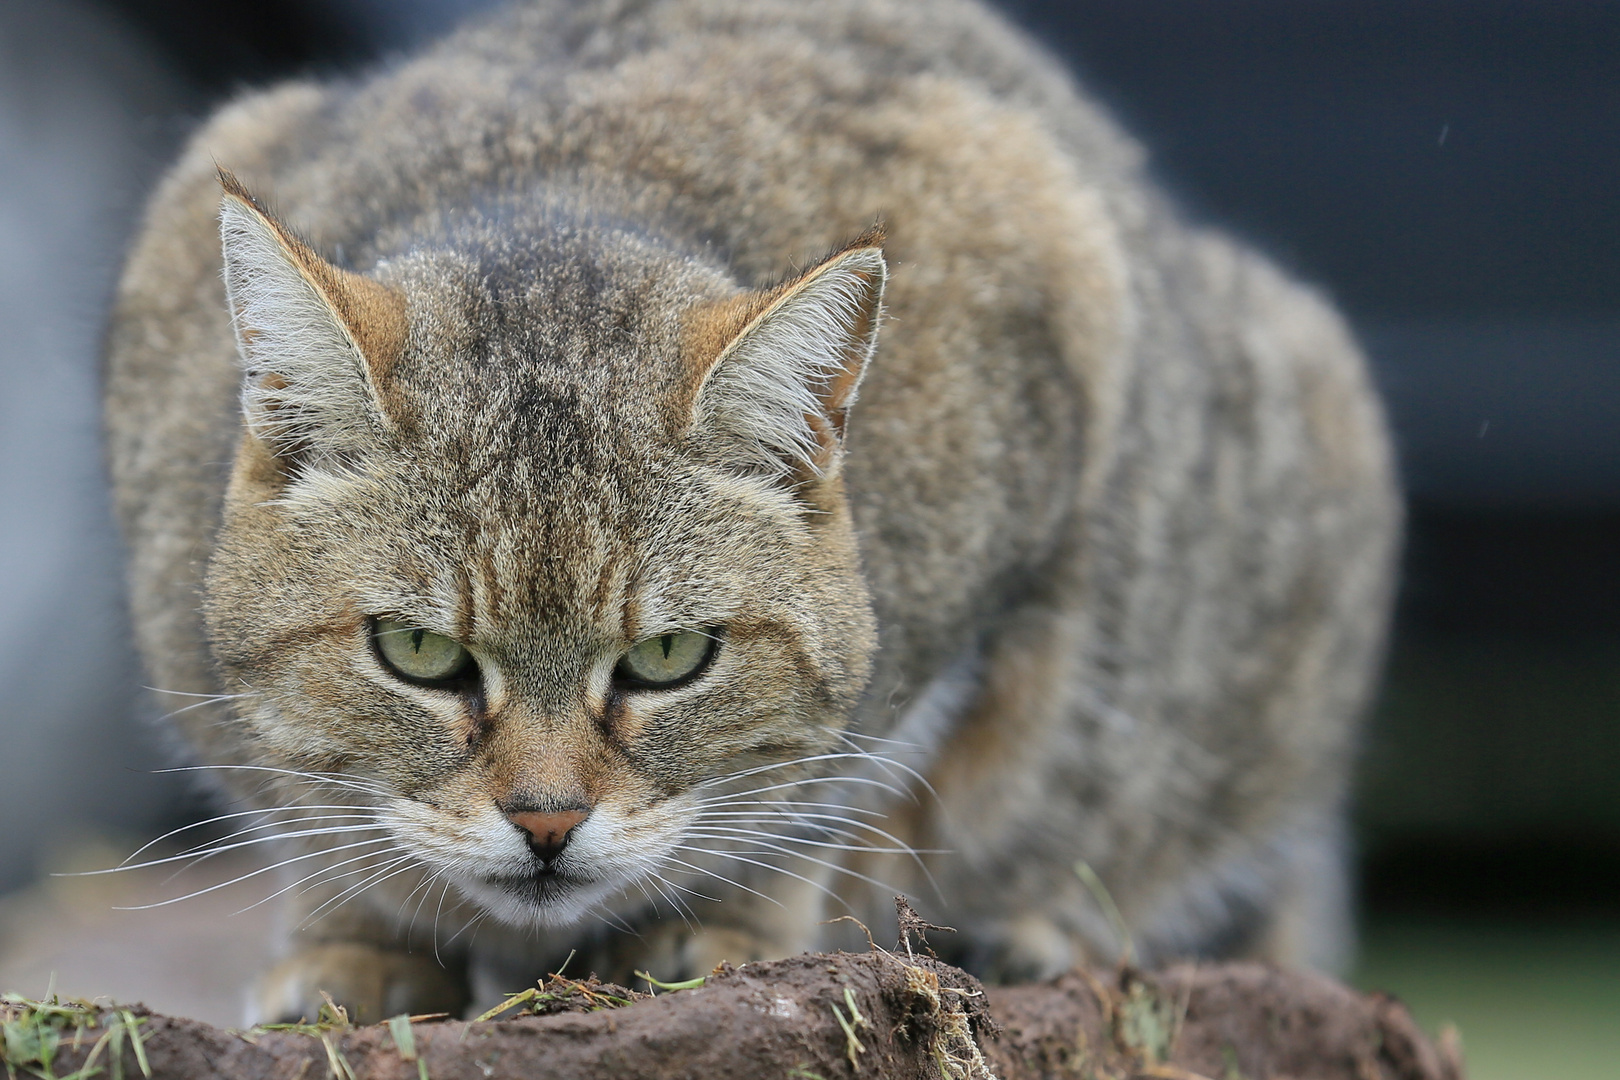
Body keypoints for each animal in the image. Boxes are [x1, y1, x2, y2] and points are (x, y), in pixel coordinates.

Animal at [104, 0, 1393, 1023]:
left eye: (671, 658)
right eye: (418, 653)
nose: (546, 823)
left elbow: (829, 791)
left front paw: (726, 931)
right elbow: (307, 811)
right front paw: (352, 945)